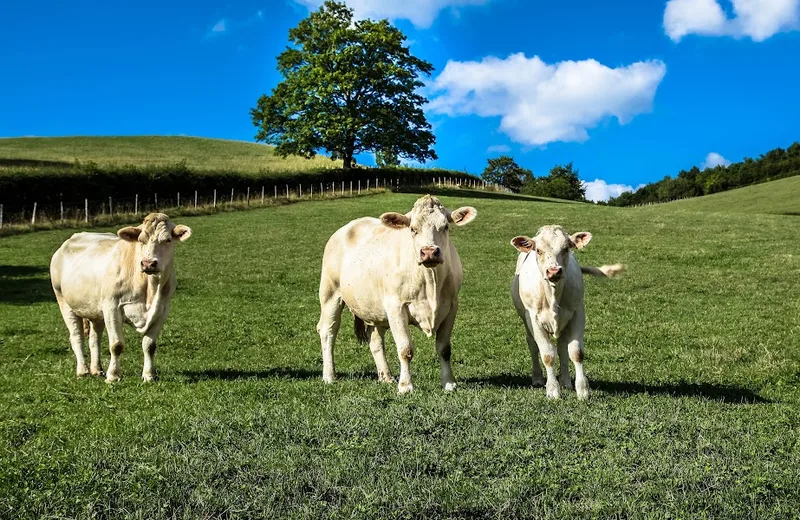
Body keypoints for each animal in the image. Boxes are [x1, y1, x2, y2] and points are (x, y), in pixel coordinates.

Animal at [50, 211, 193, 382]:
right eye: (141, 240)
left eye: (168, 240)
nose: (148, 263)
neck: (150, 289)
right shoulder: (112, 307)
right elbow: (116, 345)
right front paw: (113, 376)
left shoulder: (162, 310)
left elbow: (149, 345)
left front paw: (149, 375)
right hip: (64, 301)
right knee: (76, 336)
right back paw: (83, 371)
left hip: (95, 310)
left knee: (94, 339)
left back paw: (96, 369)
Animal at [318, 196, 478, 394]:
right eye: (413, 229)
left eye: (445, 227)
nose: (429, 252)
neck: (430, 281)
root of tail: (349, 226)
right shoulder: (396, 307)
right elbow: (405, 350)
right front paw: (405, 386)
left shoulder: (451, 306)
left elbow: (444, 349)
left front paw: (449, 383)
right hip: (330, 294)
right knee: (328, 331)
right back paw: (329, 376)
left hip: (374, 308)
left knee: (375, 339)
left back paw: (385, 377)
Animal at [512, 225, 624, 400]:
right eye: (538, 250)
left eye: (566, 249)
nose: (553, 271)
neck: (553, 294)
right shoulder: (534, 319)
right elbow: (547, 355)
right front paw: (552, 390)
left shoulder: (578, 313)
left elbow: (576, 352)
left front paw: (582, 390)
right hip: (525, 319)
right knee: (533, 345)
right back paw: (537, 378)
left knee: (562, 348)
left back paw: (565, 381)